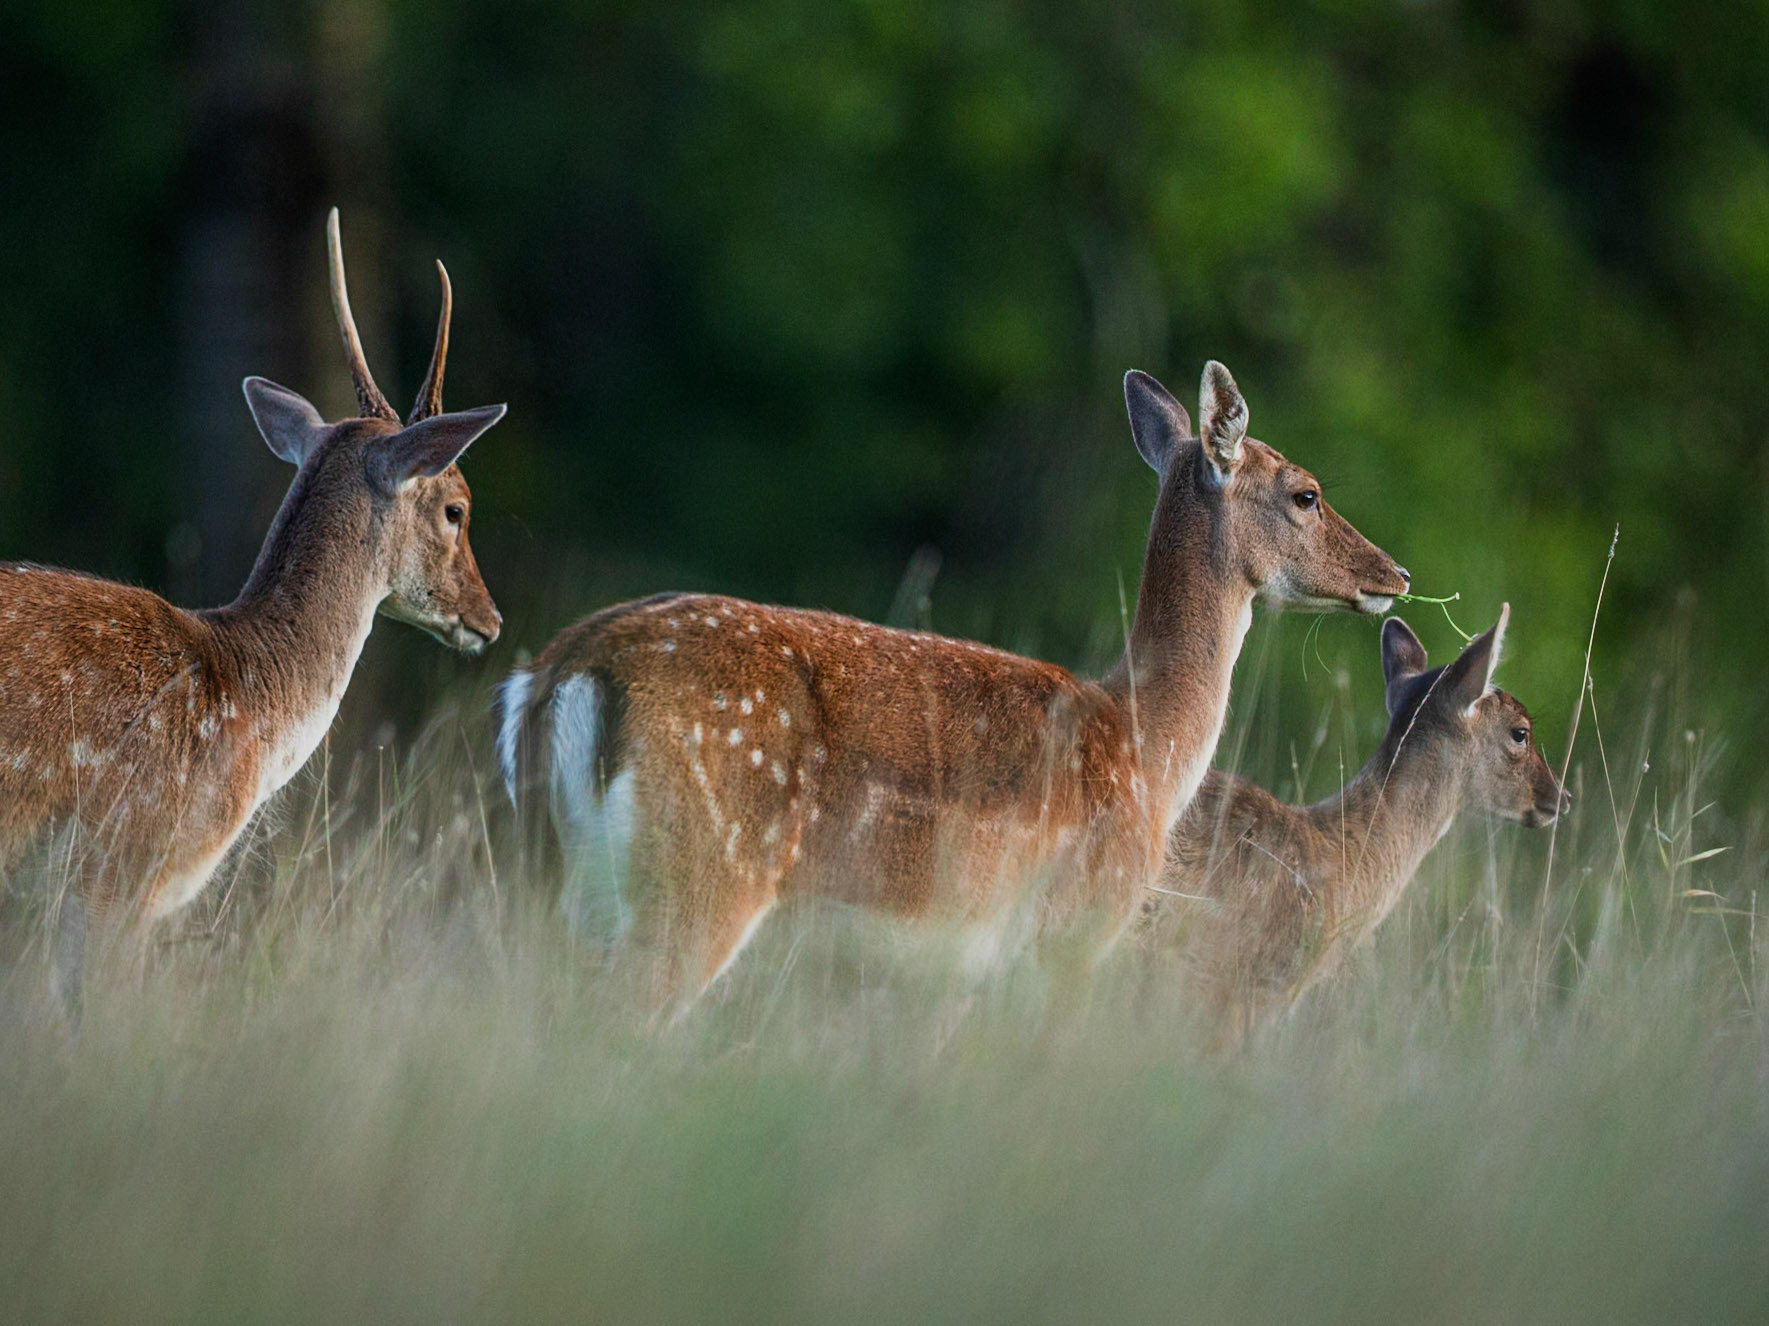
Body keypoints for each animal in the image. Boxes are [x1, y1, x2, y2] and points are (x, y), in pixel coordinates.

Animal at [496, 363, 1409, 1015]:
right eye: (1306, 494)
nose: (1394, 575)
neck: (1146, 747)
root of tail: (563, 672)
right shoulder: (1073, 929)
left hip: (556, 881)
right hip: (698, 868)